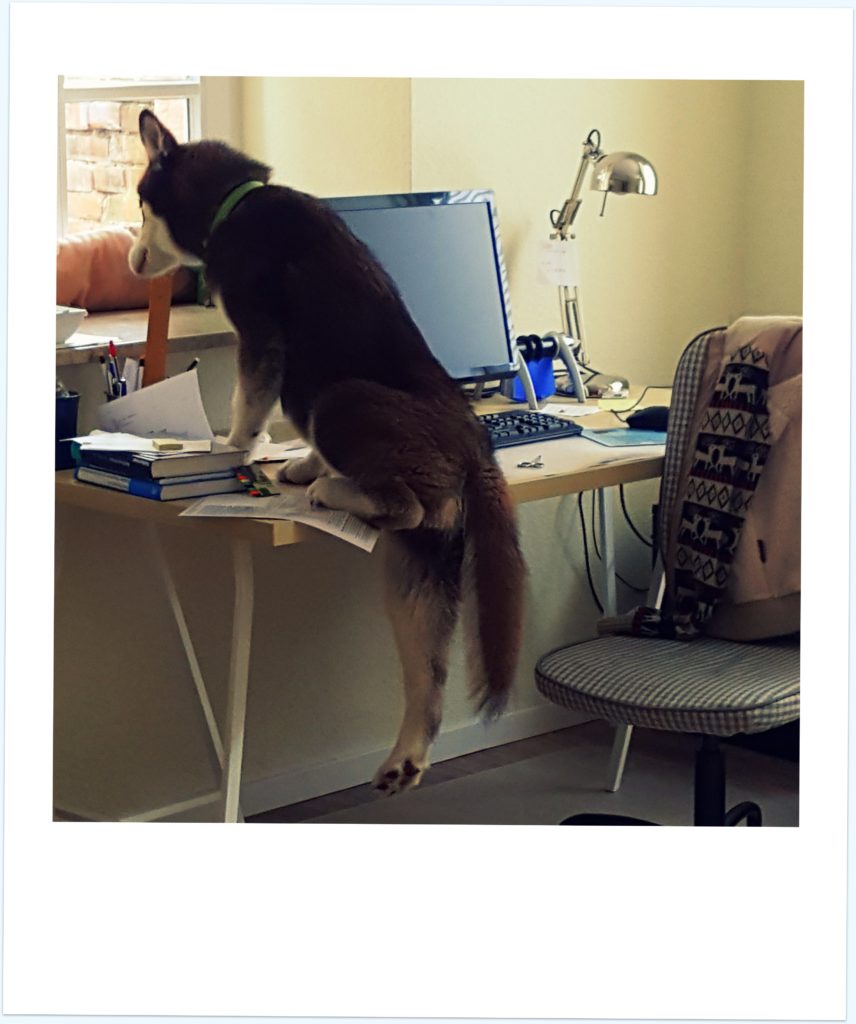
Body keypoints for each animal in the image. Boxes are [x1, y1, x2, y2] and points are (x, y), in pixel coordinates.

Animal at [128, 110, 526, 794]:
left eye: (140, 206)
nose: (129, 262)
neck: (236, 202)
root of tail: (479, 444)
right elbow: (292, 426)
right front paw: (297, 460)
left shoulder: (261, 337)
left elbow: (248, 403)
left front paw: (234, 447)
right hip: (420, 578)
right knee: (429, 677)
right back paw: (406, 757)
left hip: (343, 399)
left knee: (410, 504)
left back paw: (337, 489)